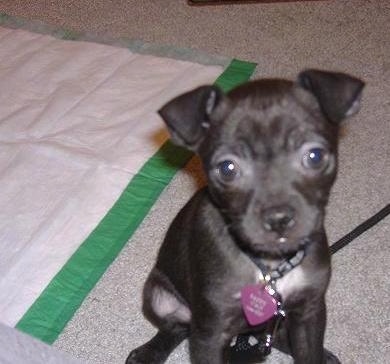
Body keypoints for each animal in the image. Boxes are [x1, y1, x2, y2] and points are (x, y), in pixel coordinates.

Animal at [126, 69, 364, 362]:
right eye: (227, 169)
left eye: (315, 156)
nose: (278, 219)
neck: (270, 268)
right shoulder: (209, 333)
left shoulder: (310, 311)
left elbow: (308, 353)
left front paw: (316, 354)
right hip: (158, 297)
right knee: (176, 326)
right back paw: (148, 353)